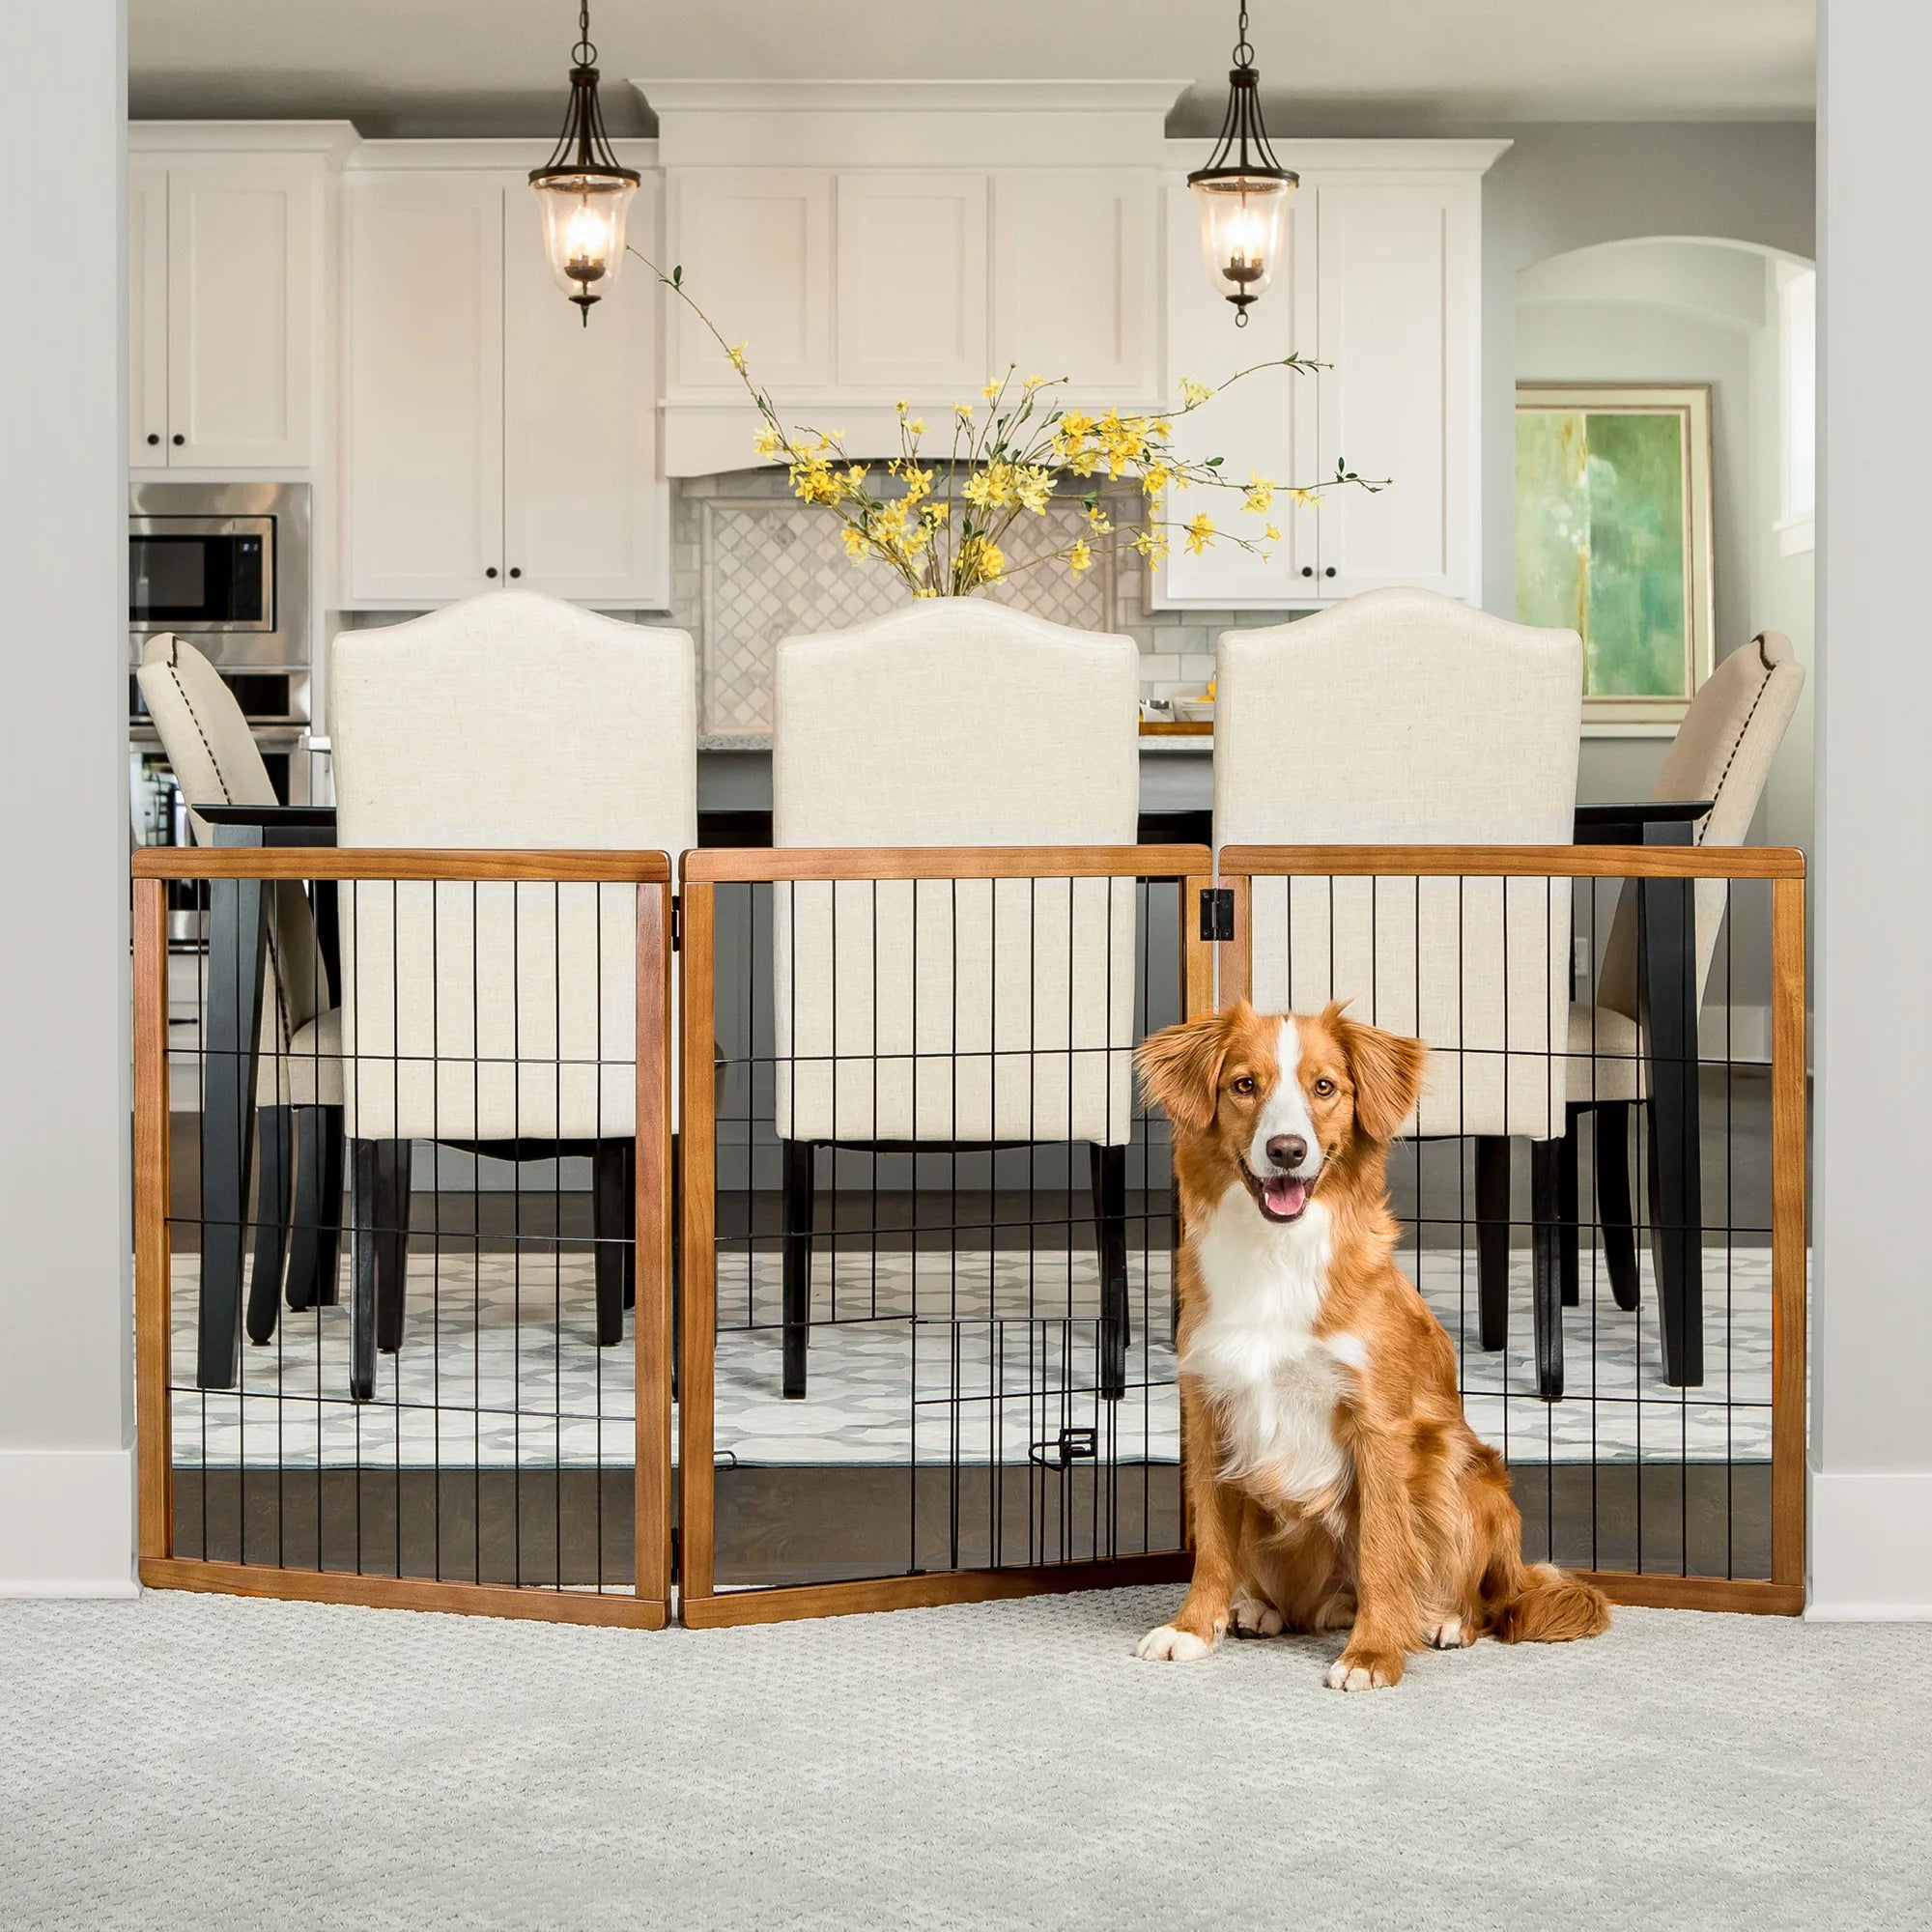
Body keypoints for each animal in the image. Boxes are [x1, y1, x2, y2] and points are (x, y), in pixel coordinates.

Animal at [1136, 997, 1607, 1692]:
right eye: (1244, 1085)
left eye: (1324, 1087)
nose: (1286, 1150)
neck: (1277, 1254)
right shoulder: (1209, 1410)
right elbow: (1213, 1544)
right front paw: (1194, 1627)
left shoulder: (1379, 1425)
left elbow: (1385, 1548)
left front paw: (1374, 1654)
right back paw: (1263, 1608)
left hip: (1456, 1471)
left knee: (1478, 1597)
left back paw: (1444, 1620)